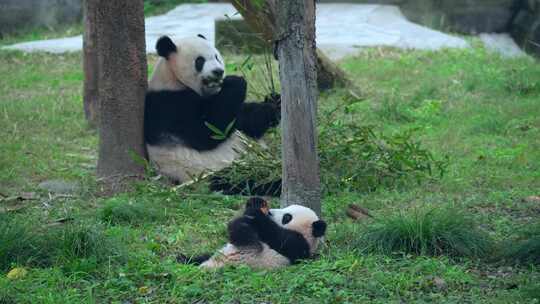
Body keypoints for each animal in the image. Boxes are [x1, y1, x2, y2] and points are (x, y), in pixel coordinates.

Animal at [143, 35, 282, 192]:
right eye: (200, 60)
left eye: (216, 57)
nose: (218, 71)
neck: (173, 79)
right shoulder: (168, 105)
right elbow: (206, 132)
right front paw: (235, 81)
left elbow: (244, 120)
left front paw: (274, 102)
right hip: (205, 172)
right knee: (241, 181)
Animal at [179, 198, 326, 270]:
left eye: (287, 217)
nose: (270, 212)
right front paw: (255, 203)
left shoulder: (298, 245)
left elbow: (277, 237)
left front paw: (255, 213)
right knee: (202, 257)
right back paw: (183, 258)